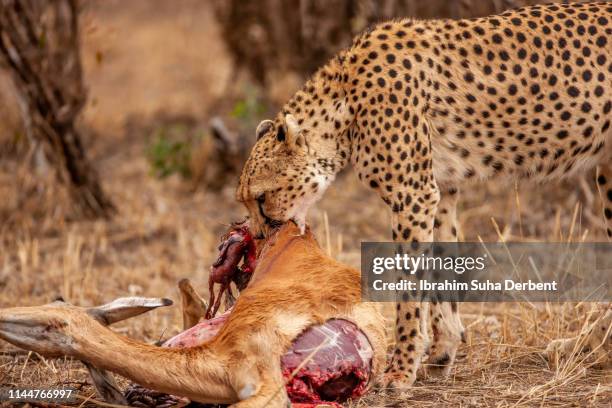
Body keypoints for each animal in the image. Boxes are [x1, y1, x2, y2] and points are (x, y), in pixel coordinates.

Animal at [235, 1, 612, 390]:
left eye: (261, 198)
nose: (259, 237)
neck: (344, 98)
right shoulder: (441, 191)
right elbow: (442, 266)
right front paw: (443, 349)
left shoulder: (412, 193)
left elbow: (410, 285)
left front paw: (401, 369)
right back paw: (586, 348)